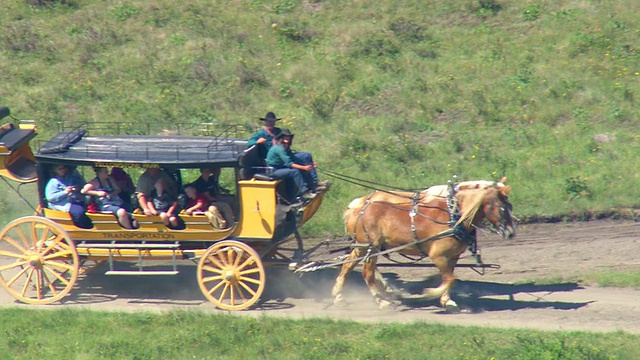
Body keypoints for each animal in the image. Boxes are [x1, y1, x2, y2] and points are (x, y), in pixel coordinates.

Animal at [332, 181, 516, 310]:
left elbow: (449, 278)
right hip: (372, 248)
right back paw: (381, 301)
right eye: (501, 208)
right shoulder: (438, 256)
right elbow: (451, 279)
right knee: (367, 273)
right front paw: (429, 294)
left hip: (361, 247)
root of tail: (357, 208)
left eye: (510, 206)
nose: (511, 233)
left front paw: (447, 300)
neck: (454, 216)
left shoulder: (452, 256)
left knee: (347, 265)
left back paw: (339, 296)